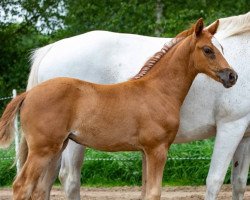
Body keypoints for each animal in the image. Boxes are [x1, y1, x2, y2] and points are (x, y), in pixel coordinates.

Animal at [0, 18, 236, 200]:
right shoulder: (157, 149)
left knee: (38, 188)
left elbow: (145, 192)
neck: (158, 90)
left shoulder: (145, 151)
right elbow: (154, 193)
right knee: (22, 186)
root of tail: (28, 94)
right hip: (43, 149)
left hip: (57, 146)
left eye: (222, 49)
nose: (232, 76)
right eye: (208, 50)